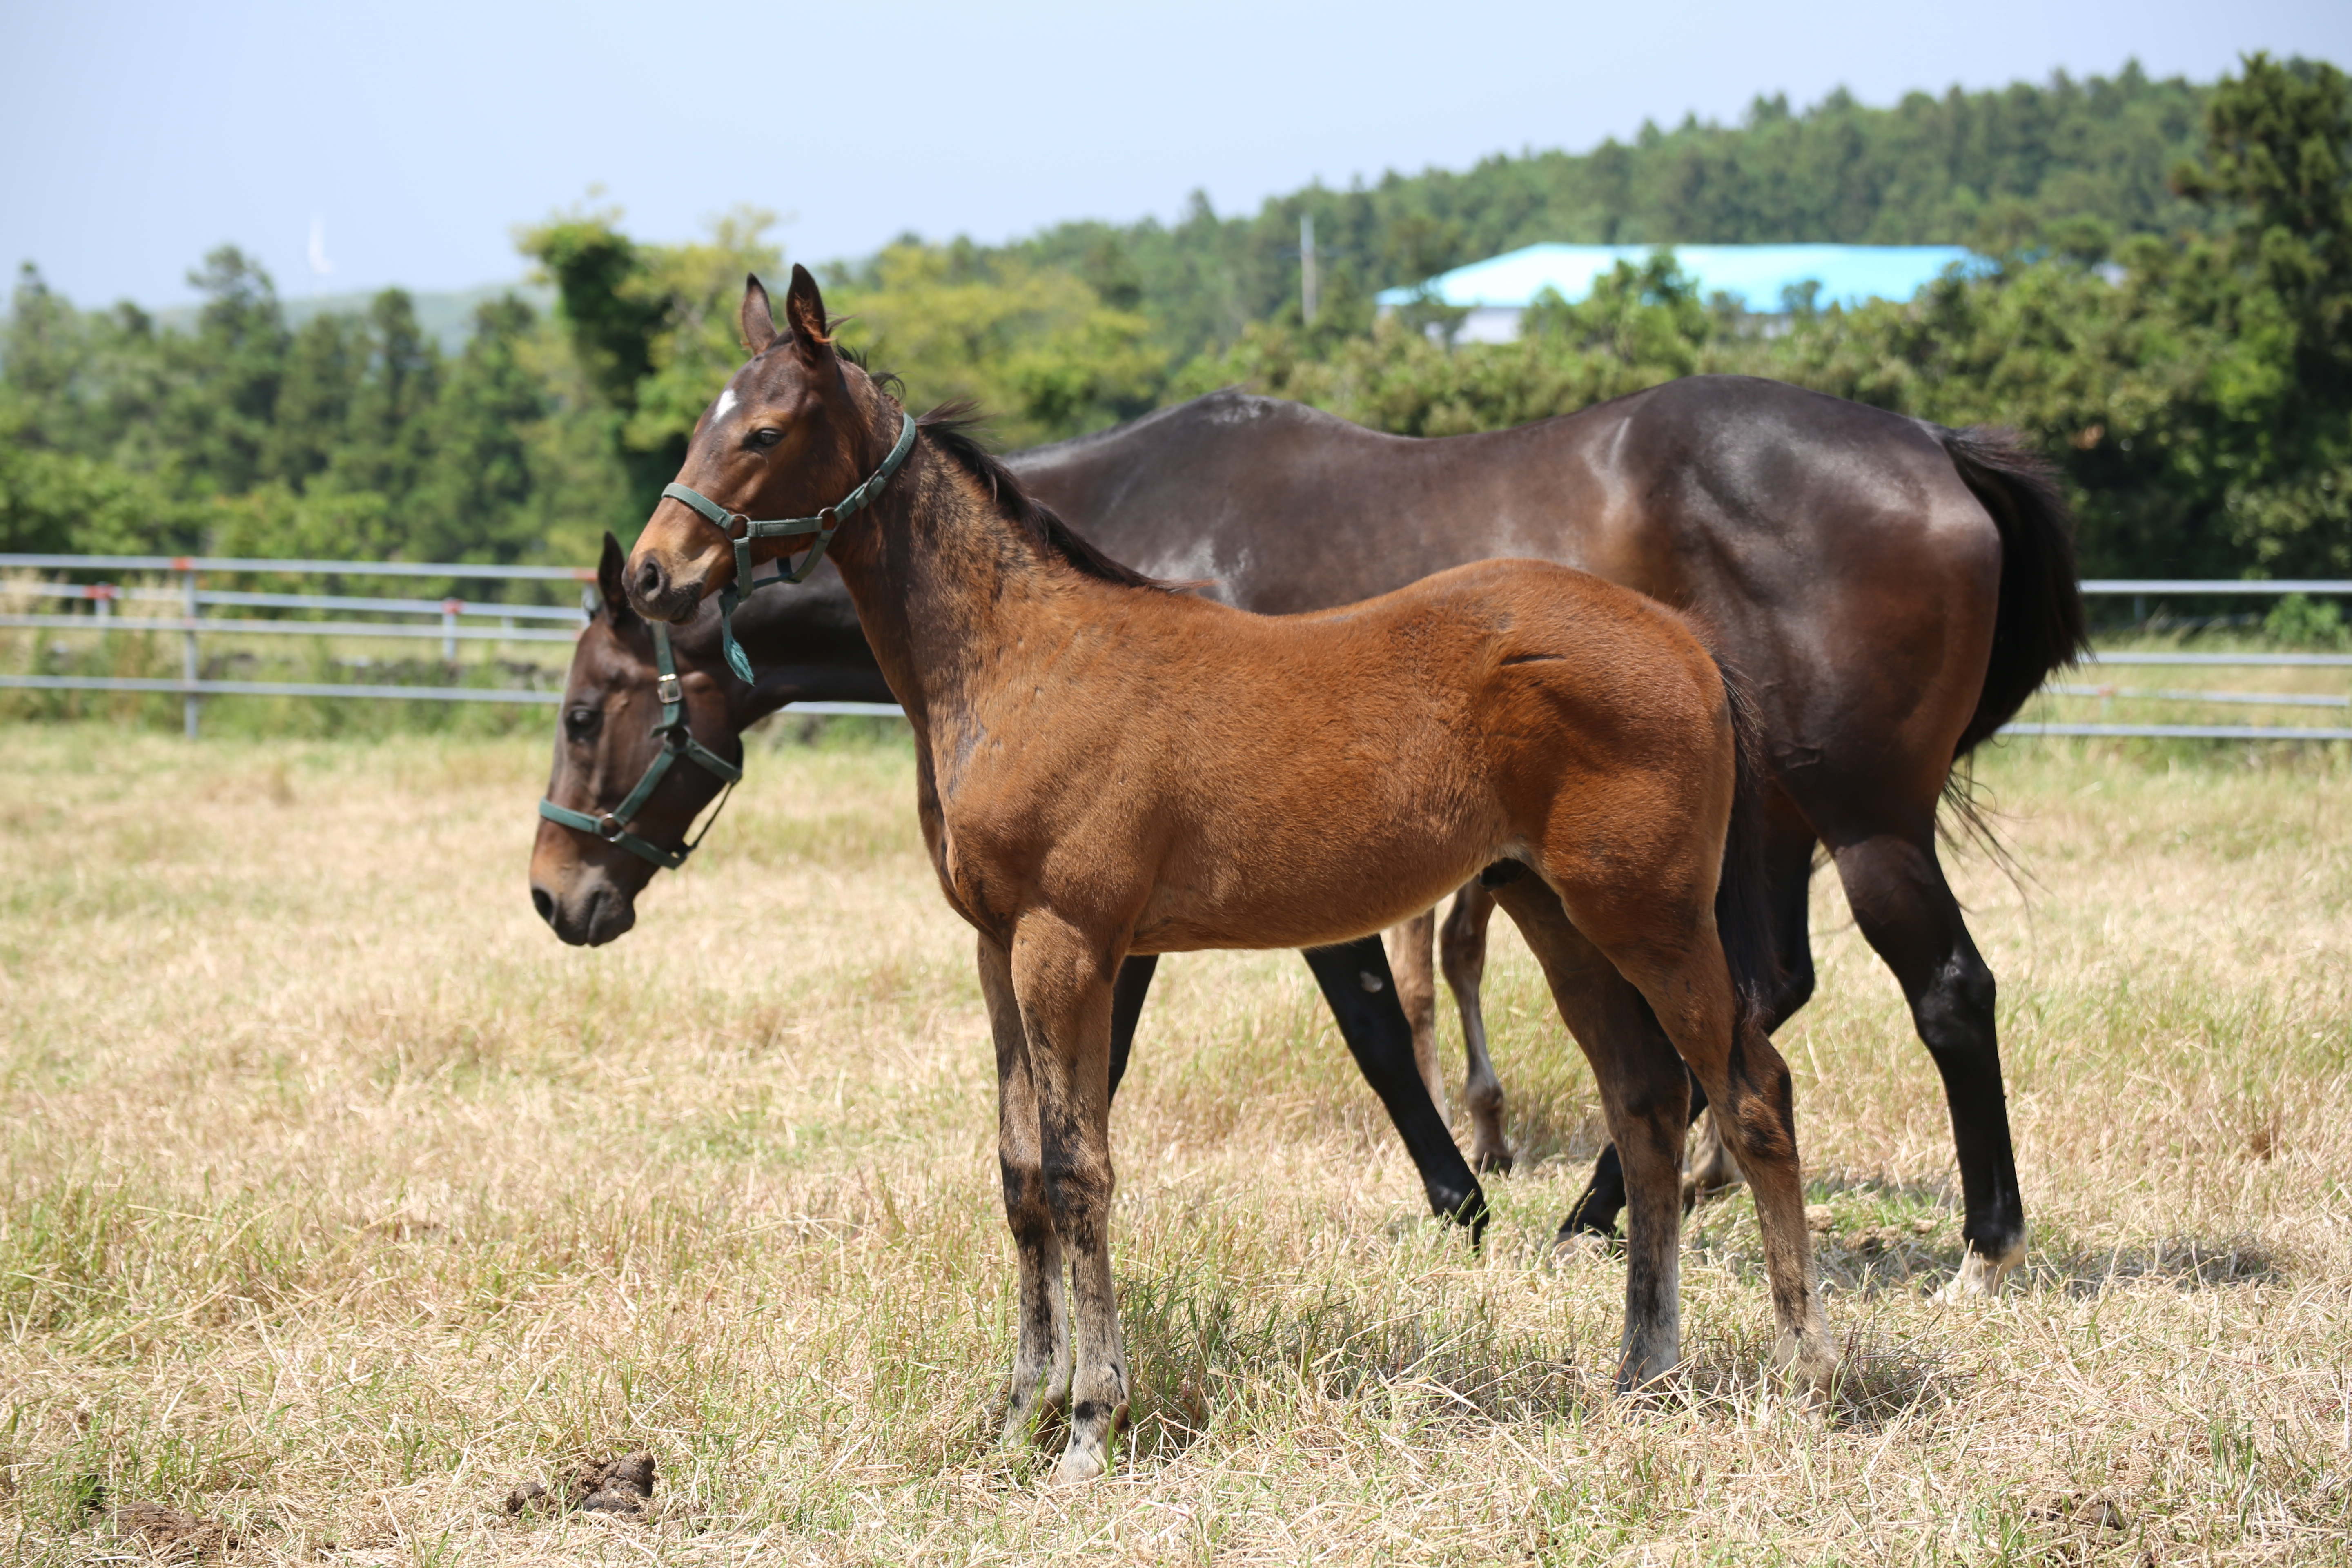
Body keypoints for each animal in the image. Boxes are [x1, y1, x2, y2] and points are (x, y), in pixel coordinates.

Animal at [635, 270, 1844, 1486]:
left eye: (764, 432)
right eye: (700, 423)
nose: (652, 573)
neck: (1020, 658)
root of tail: (1686, 643)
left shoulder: (1068, 941)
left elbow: (1078, 1170)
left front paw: (1090, 1421)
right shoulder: (994, 945)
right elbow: (1020, 1172)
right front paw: (1017, 1407)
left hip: (1655, 918)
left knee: (1753, 1095)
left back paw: (1803, 1373)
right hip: (1562, 918)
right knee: (1645, 1106)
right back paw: (1643, 1371)